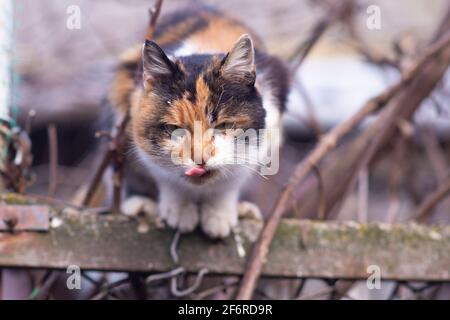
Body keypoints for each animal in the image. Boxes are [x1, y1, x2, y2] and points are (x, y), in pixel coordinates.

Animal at [110, 6, 290, 238]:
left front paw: (218, 217)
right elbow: (164, 175)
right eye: (174, 129)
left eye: (223, 126)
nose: (200, 158)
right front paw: (180, 212)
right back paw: (141, 206)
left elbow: (234, 177)